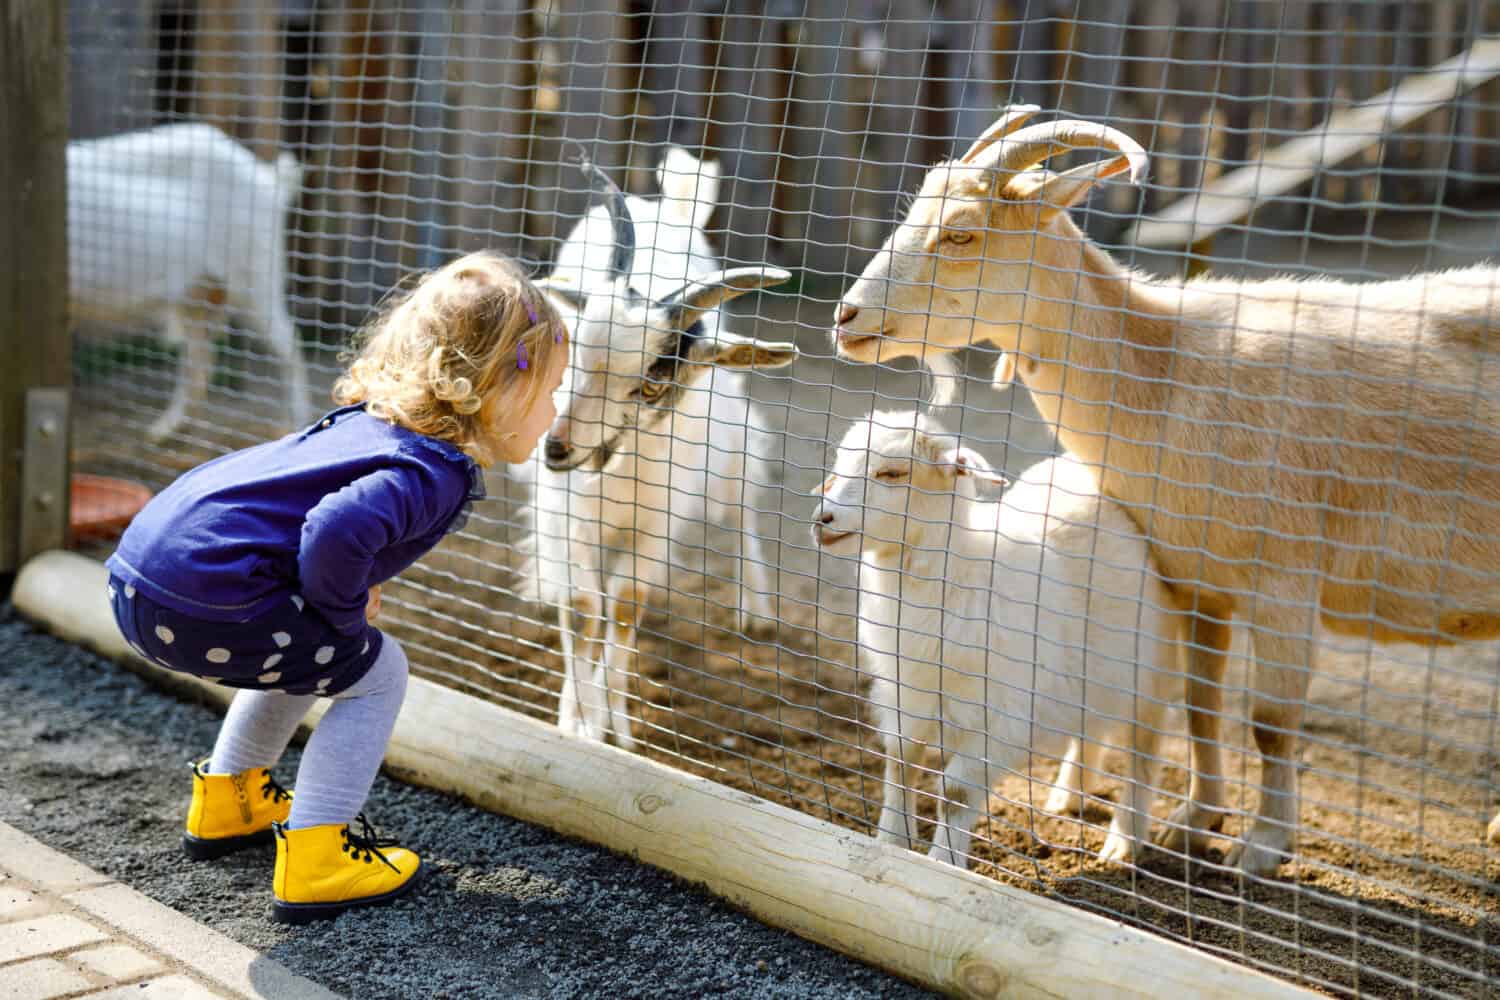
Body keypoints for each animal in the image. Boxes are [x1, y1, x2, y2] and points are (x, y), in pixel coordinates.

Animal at [70, 122, 310, 440]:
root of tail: (268, 180)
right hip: (196, 295)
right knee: (200, 358)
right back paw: (164, 429)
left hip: (254, 280)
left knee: (290, 347)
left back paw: (297, 424)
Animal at [522, 148, 798, 749]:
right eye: (572, 352)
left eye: (651, 382)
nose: (556, 448)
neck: (618, 469)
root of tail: (669, 207)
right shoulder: (568, 514)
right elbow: (583, 607)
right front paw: (576, 722)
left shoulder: (656, 523)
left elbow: (626, 607)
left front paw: (615, 728)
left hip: (731, 445)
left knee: (742, 508)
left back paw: (755, 608)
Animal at [816, 413, 1176, 869]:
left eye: (893, 473)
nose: (822, 519)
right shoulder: (906, 694)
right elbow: (900, 765)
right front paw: (892, 843)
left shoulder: (1000, 715)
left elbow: (955, 792)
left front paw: (944, 863)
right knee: (1090, 727)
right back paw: (1068, 795)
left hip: (1151, 666)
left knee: (1143, 750)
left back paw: (1124, 840)